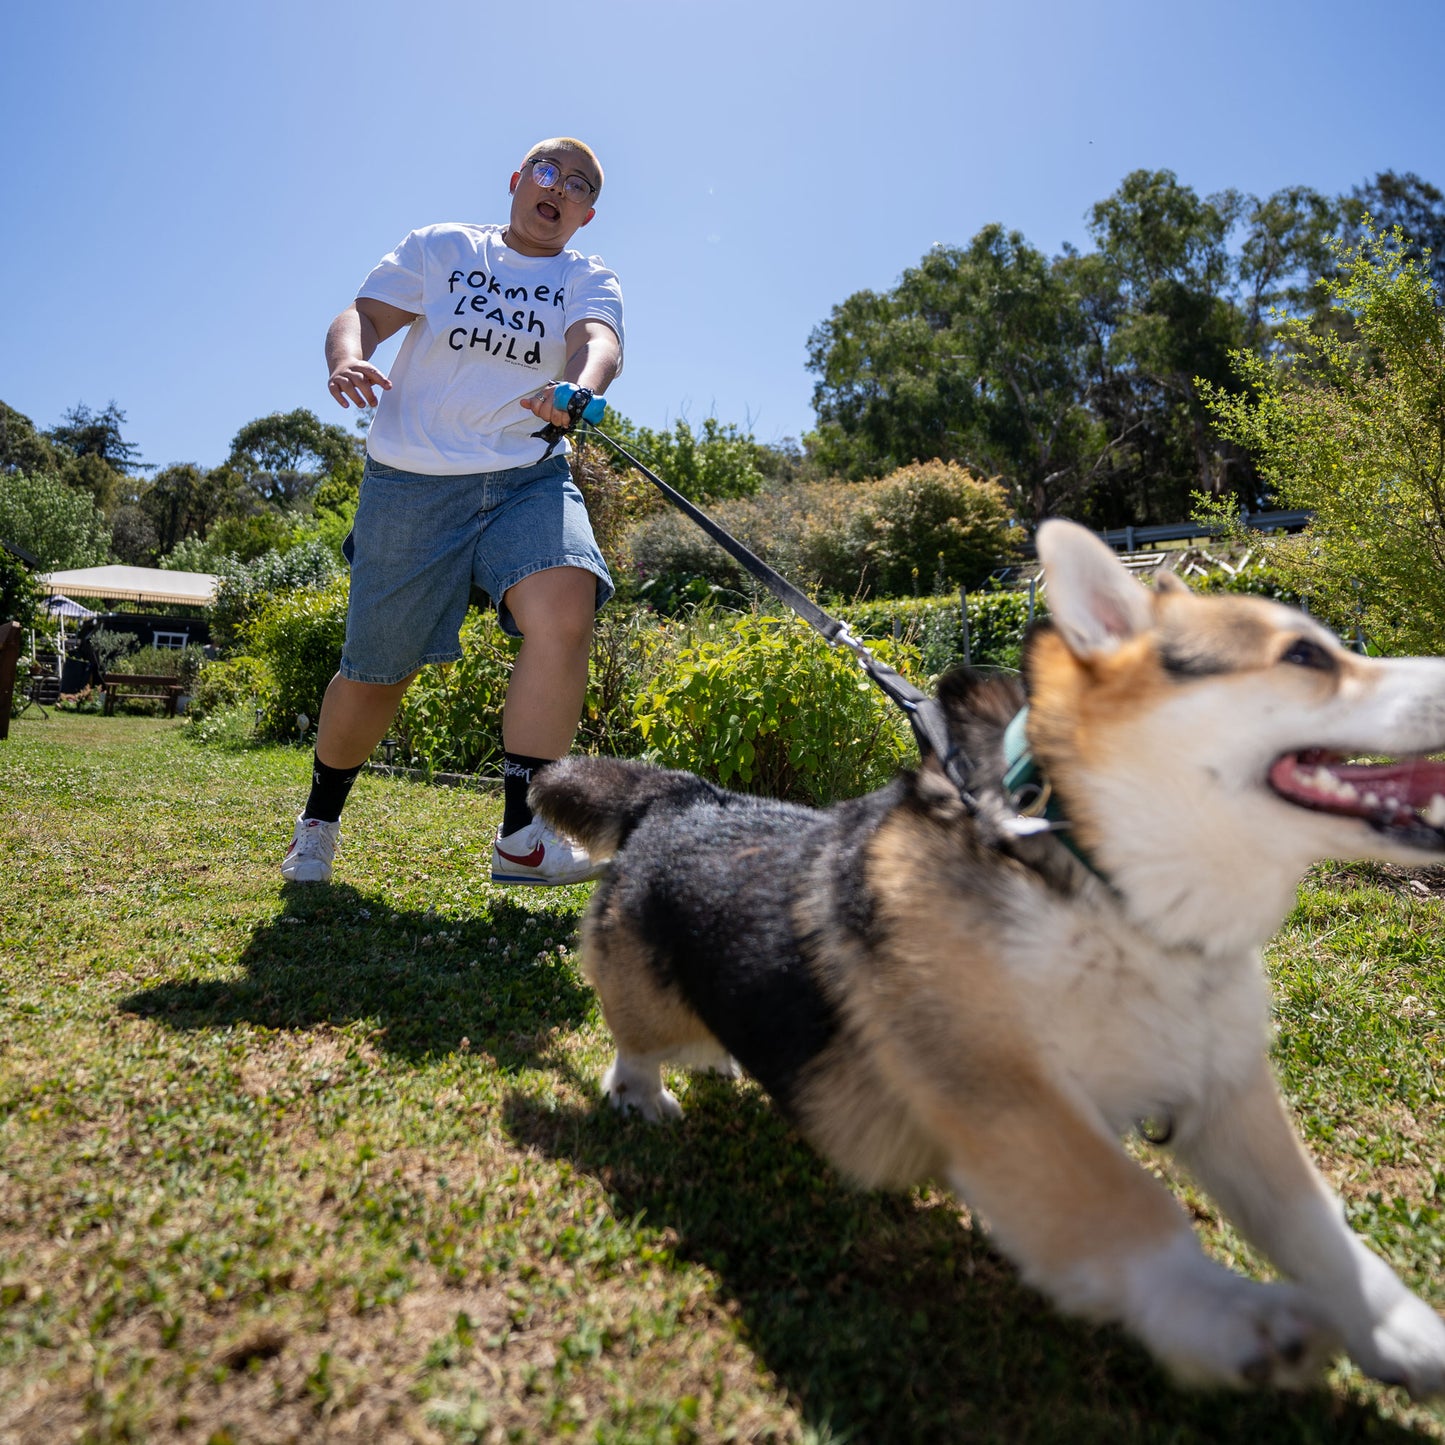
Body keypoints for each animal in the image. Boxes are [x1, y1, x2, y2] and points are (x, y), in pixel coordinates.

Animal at [531, 523, 1445, 1398]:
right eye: (1304, 656)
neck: (1102, 884)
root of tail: (681, 794)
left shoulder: (1227, 1093)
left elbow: (1313, 1224)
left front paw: (1399, 1331)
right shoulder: (1003, 1093)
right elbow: (1124, 1203)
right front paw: (1225, 1315)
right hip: (646, 1000)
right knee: (634, 1038)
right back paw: (642, 1095)